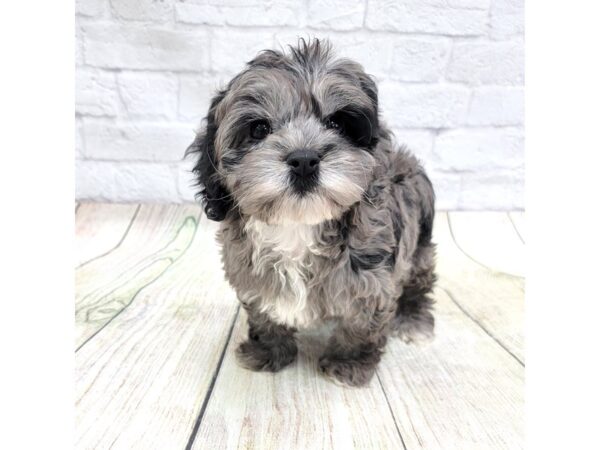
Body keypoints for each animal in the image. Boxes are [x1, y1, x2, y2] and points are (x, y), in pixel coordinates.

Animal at [185, 39, 434, 386]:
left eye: (336, 123)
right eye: (259, 129)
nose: (304, 160)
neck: (298, 225)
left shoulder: (373, 282)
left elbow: (360, 326)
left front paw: (348, 363)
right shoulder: (249, 274)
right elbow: (265, 315)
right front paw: (268, 351)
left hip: (420, 248)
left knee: (419, 283)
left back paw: (413, 320)